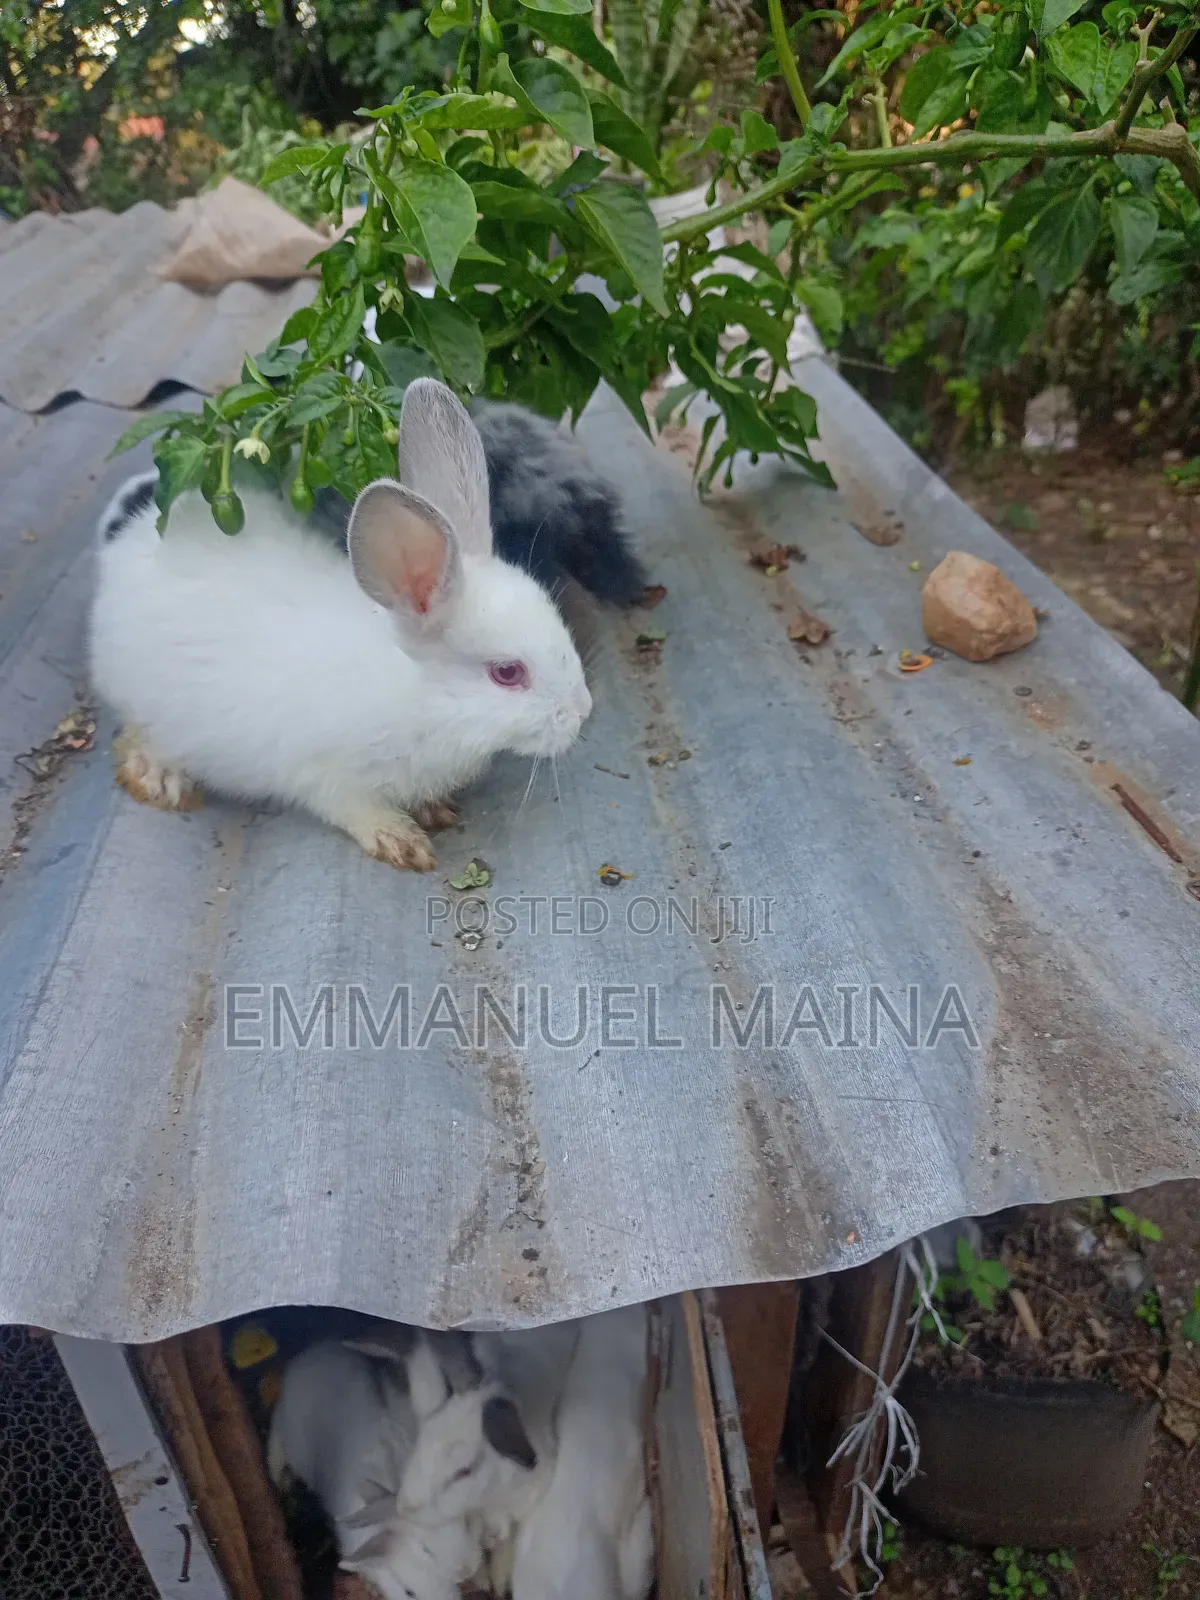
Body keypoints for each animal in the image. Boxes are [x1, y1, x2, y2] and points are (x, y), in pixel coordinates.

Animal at [90, 378, 593, 871]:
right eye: (507, 673)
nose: (582, 710)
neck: (418, 696)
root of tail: (134, 533)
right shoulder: (325, 774)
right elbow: (352, 808)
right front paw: (400, 841)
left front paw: (433, 809)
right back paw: (159, 776)